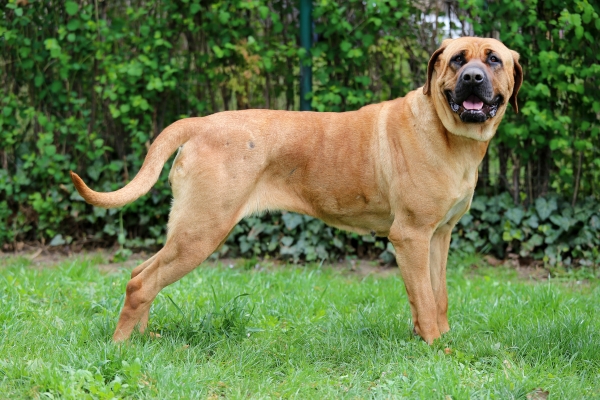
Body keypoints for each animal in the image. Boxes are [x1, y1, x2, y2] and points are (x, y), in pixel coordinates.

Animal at [69, 37, 520, 344]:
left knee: (141, 274)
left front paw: (440, 340)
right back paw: (121, 347)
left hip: (186, 230)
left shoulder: (439, 236)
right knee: (142, 283)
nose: (473, 78)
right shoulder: (410, 236)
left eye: (493, 59)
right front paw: (436, 349)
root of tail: (199, 123)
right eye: (457, 60)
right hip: (201, 231)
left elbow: (437, 295)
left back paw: (143, 339)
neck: (449, 135)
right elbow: (424, 300)